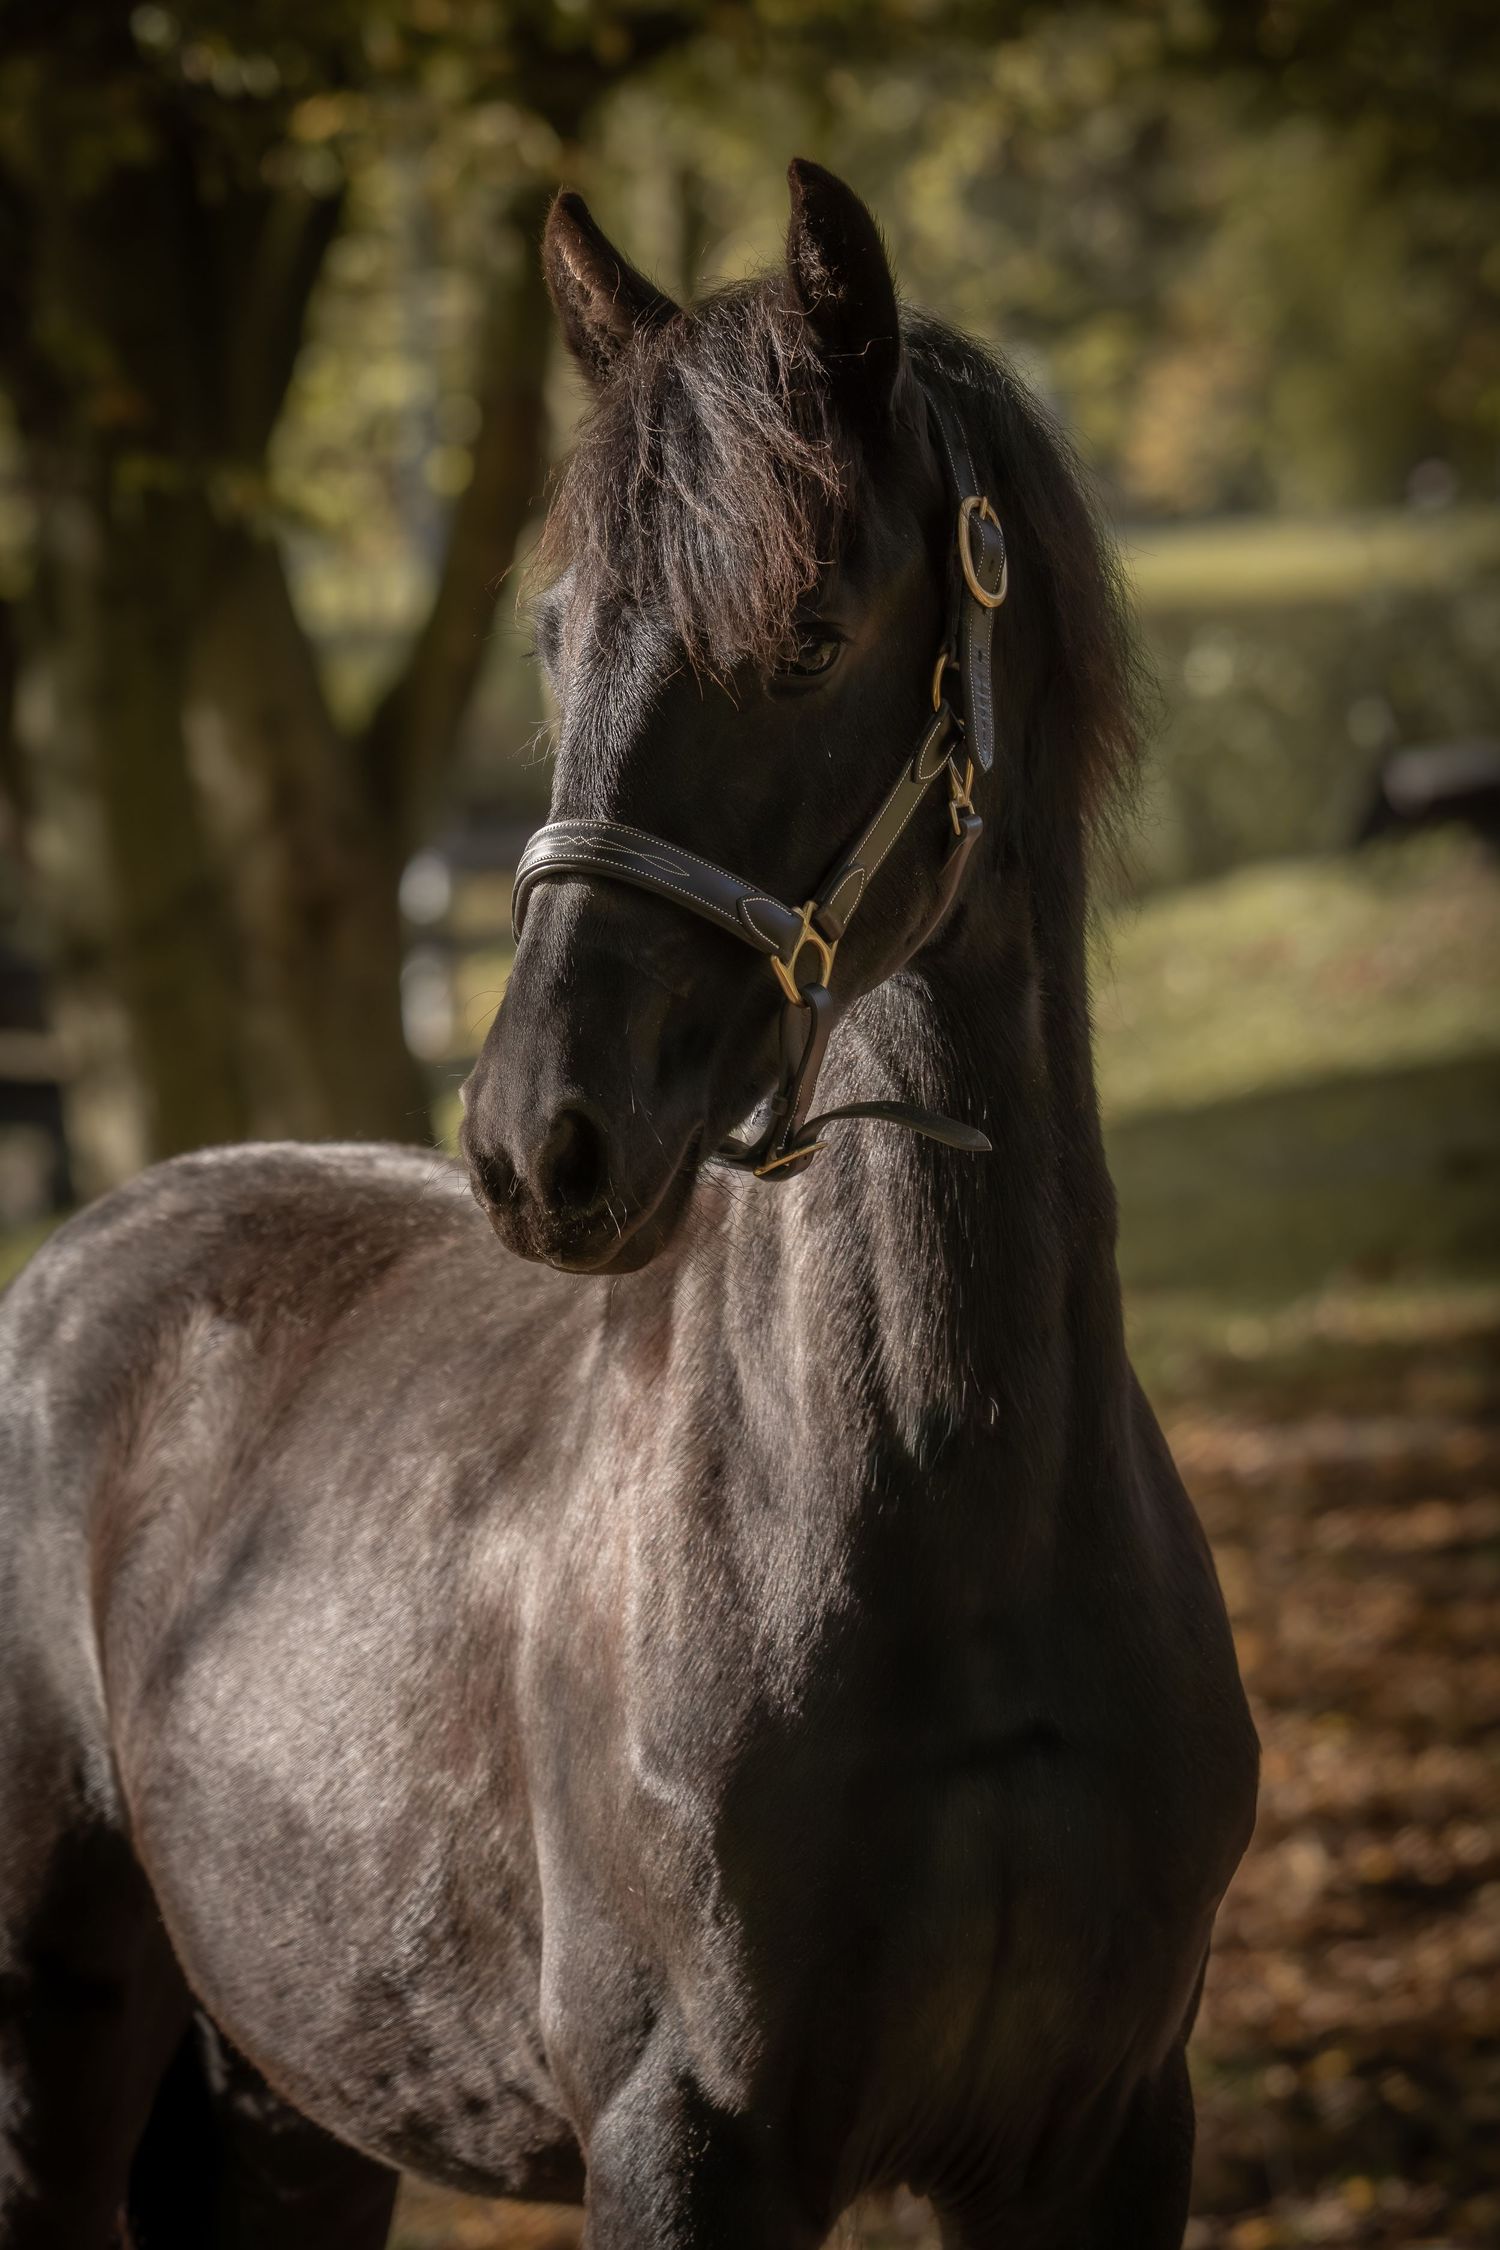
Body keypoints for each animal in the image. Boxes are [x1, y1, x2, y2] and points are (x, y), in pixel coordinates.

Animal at [0, 161, 1258, 2249]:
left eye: (812, 629)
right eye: (560, 631)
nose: (540, 1141)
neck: (965, 1536)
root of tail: (67, 1263)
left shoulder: (1104, 2138)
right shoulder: (686, 2139)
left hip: (283, 2121)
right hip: (50, 2067)